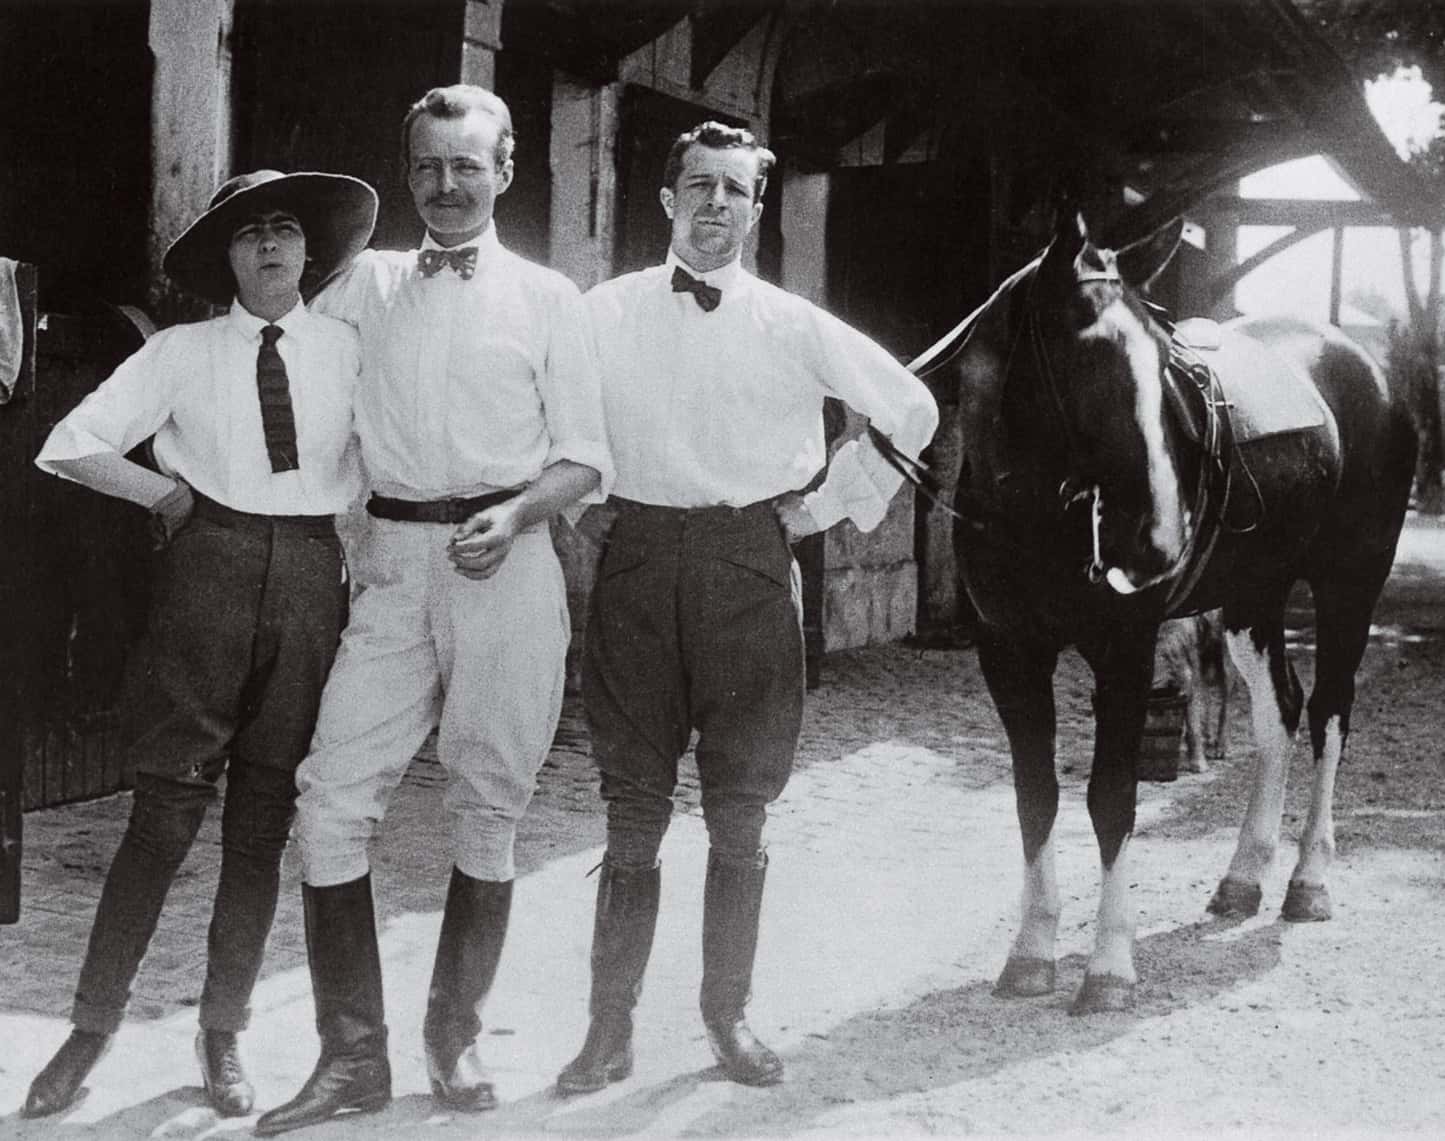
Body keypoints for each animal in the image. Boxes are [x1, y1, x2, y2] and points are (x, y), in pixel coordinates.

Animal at [907, 208, 1416, 1014]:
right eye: (1088, 359)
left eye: (1159, 362)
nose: (1155, 541)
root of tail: (1363, 364)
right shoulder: (1008, 651)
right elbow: (1035, 797)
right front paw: (1031, 954)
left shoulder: (1125, 646)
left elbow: (1111, 797)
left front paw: (1109, 968)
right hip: (1252, 596)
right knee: (1280, 709)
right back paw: (1241, 878)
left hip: (1348, 583)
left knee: (1330, 712)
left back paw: (1308, 881)